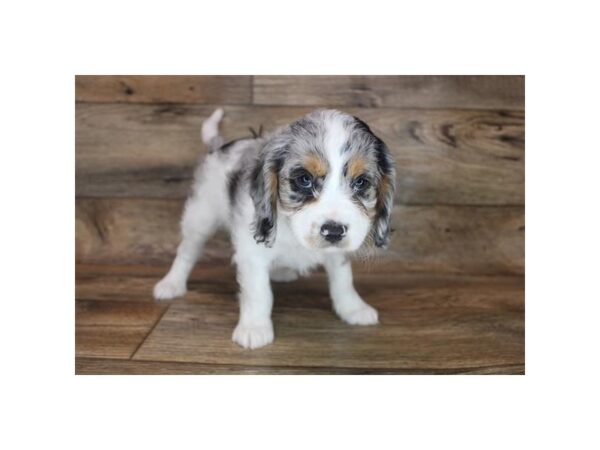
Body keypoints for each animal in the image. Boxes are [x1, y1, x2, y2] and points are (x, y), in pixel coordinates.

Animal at [155, 107, 396, 350]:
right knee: (187, 251)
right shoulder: (252, 254)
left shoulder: (338, 253)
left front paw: (353, 309)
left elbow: (343, 280)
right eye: (304, 179)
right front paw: (254, 328)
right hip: (201, 216)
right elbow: (259, 292)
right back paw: (171, 283)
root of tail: (220, 146)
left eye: (361, 182)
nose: (334, 231)